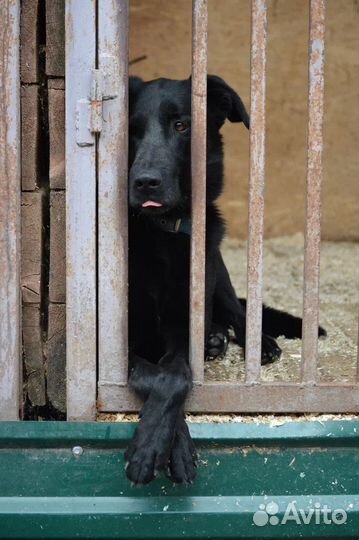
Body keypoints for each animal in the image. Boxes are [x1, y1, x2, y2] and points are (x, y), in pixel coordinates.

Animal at [126, 76, 326, 486]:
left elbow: (176, 375)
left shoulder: (183, 328)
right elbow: (157, 375)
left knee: (236, 309)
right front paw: (161, 447)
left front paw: (158, 447)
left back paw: (252, 342)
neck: (162, 232)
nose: (145, 183)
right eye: (132, 132)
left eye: (181, 126)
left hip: (217, 269)